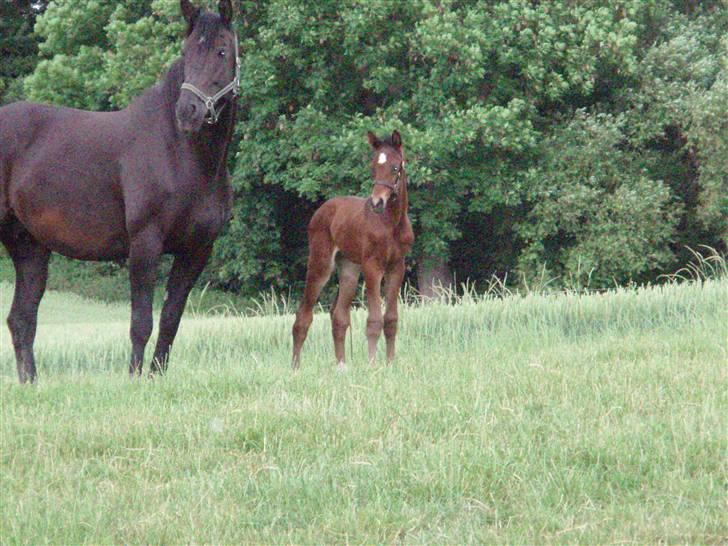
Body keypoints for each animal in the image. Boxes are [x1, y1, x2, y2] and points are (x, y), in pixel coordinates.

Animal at [0, 0, 239, 382]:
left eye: (221, 50)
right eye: (187, 52)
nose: (188, 111)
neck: (181, 153)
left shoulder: (197, 250)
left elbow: (171, 319)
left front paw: (156, 377)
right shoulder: (144, 243)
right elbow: (141, 322)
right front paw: (134, 379)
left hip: (30, 247)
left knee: (21, 320)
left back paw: (31, 384)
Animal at [292, 130, 416, 368]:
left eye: (396, 167)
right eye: (373, 167)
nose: (377, 202)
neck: (391, 224)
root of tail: (322, 209)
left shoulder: (397, 267)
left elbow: (391, 319)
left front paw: (390, 363)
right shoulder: (372, 266)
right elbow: (374, 319)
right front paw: (372, 364)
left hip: (349, 268)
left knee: (339, 315)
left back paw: (341, 365)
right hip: (321, 263)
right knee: (303, 315)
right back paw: (295, 368)